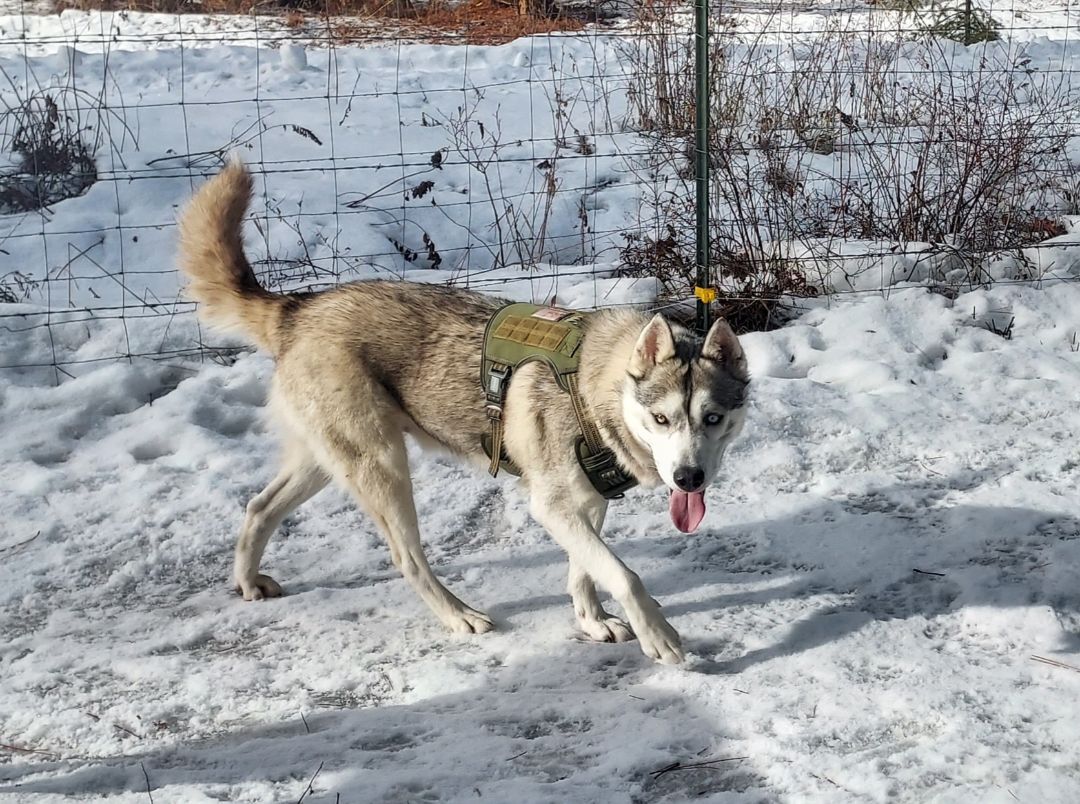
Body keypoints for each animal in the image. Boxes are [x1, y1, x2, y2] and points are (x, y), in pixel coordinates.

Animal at [179, 162, 751, 661]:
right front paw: (658, 633)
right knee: (406, 557)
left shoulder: (587, 501)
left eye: (713, 419)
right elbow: (624, 573)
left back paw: (248, 581)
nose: (689, 478)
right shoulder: (552, 504)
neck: (595, 388)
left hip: (324, 461)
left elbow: (585, 569)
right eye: (662, 420)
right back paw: (458, 615)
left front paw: (590, 621)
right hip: (383, 468)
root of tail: (300, 307)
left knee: (259, 508)